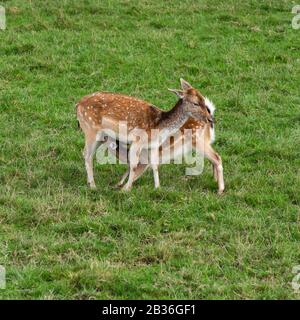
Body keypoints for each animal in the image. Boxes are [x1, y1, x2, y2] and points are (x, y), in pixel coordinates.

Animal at [76, 79, 224, 194]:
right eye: (195, 103)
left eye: (204, 100)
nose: (210, 119)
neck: (160, 125)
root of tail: (77, 104)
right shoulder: (137, 140)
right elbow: (134, 165)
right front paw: (126, 189)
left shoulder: (153, 145)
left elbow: (154, 164)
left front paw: (157, 188)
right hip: (90, 129)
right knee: (87, 154)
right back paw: (93, 185)